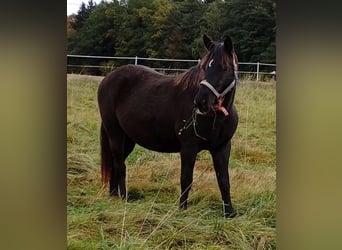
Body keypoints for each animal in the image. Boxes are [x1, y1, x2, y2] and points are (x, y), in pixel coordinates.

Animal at [97, 34, 239, 217]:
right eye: (205, 67)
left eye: (224, 68)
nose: (201, 101)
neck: (216, 118)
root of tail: (108, 78)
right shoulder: (188, 147)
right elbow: (186, 178)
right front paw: (182, 209)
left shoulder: (222, 147)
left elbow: (224, 180)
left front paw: (229, 213)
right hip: (115, 134)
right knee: (120, 165)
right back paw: (124, 198)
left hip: (127, 139)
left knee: (116, 164)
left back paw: (114, 196)